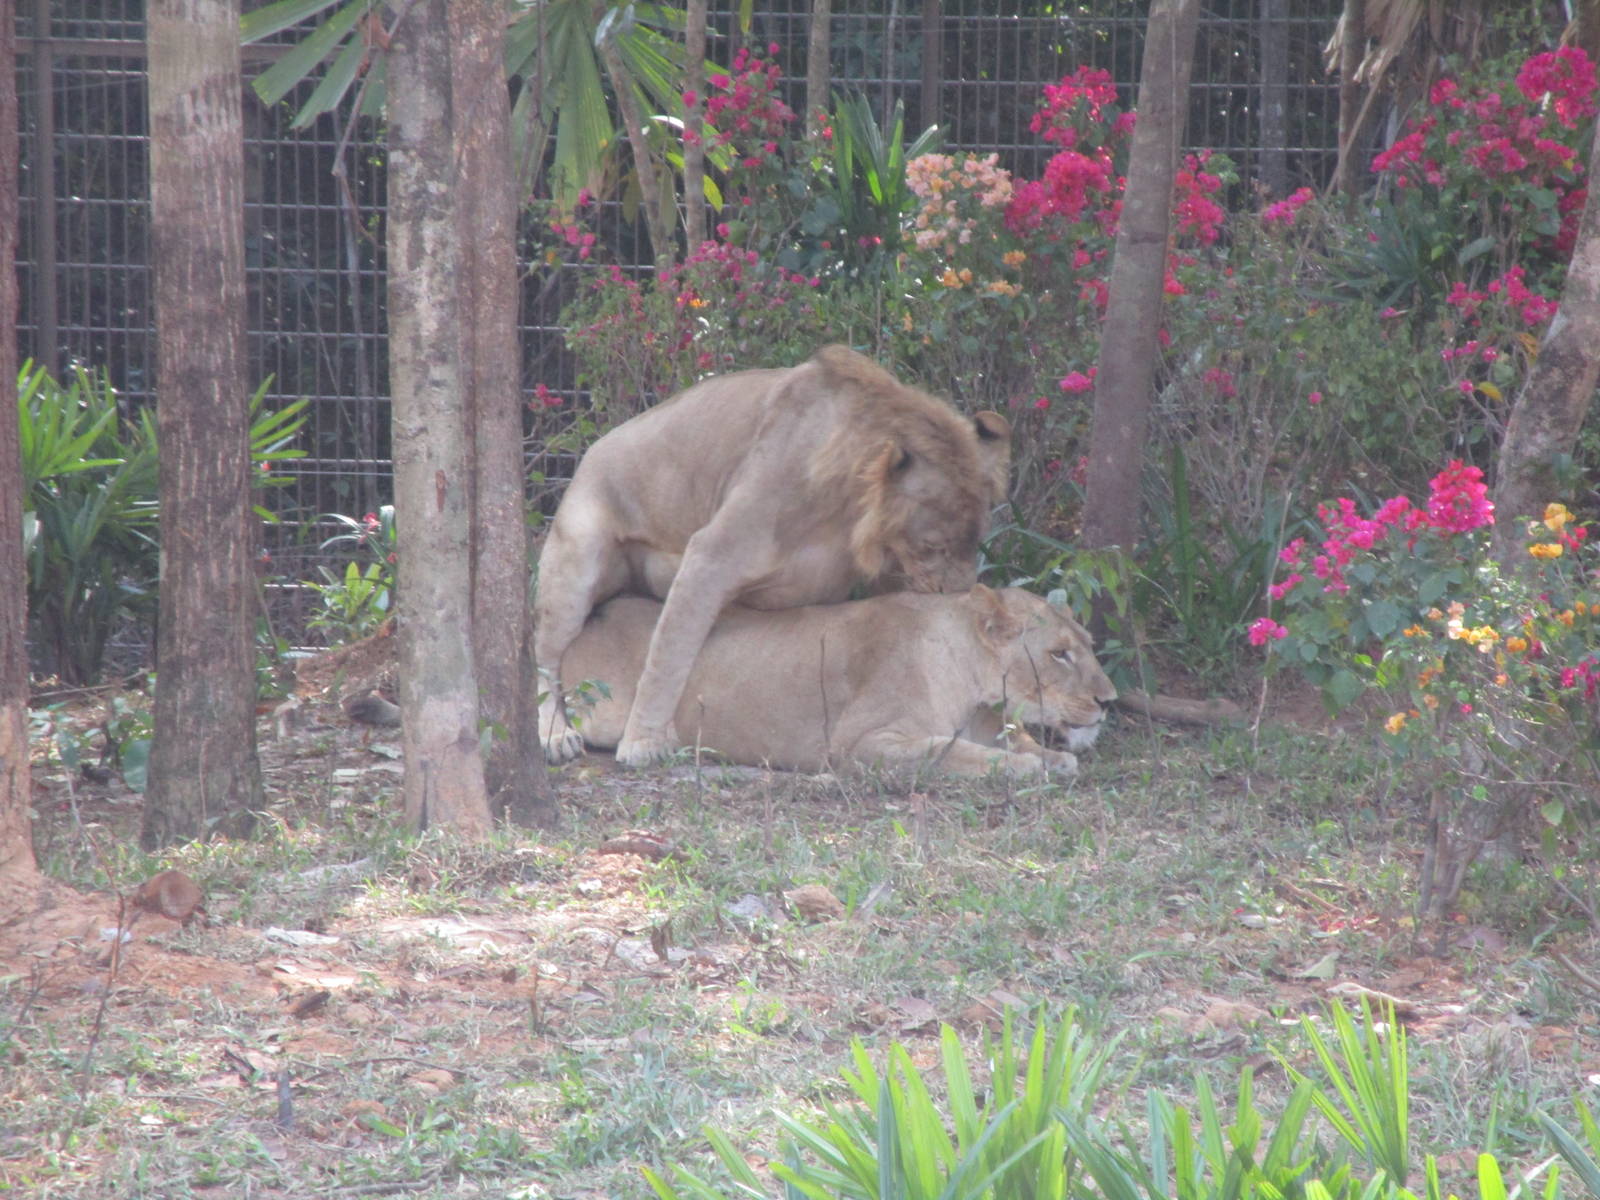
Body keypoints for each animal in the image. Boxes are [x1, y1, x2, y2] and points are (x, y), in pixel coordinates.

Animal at [534, 346, 1012, 767]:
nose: (960, 594)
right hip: (575, 563)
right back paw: (556, 737)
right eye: (933, 546)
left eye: (976, 543)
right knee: (545, 660)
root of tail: (589, 453)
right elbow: (667, 658)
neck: (841, 511)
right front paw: (642, 743)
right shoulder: (710, 557)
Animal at [559, 586, 1116, 778]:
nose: (1109, 700)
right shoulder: (862, 743)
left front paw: (1052, 758)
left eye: (1088, 643)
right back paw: (559, 741)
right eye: (1059, 653)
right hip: (605, 705)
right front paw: (1026, 768)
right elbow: (954, 753)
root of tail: (602, 610)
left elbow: (1015, 742)